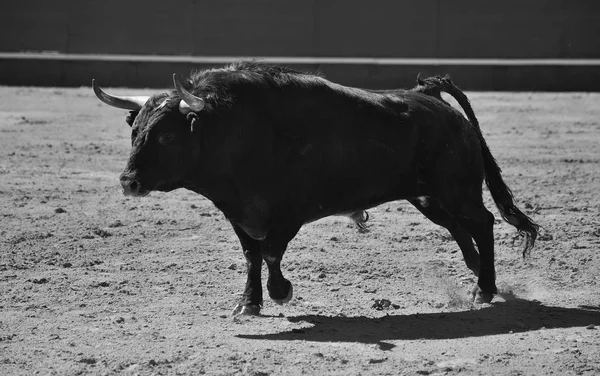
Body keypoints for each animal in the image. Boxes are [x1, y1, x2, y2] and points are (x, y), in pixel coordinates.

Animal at [94, 63, 540, 316]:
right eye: (135, 131)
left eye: (167, 137)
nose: (128, 182)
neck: (237, 132)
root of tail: (430, 97)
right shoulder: (237, 213)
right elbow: (251, 255)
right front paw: (248, 303)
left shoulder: (289, 212)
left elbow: (271, 252)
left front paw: (281, 292)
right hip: (428, 197)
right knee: (461, 229)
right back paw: (476, 274)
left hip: (457, 190)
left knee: (482, 223)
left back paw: (484, 289)